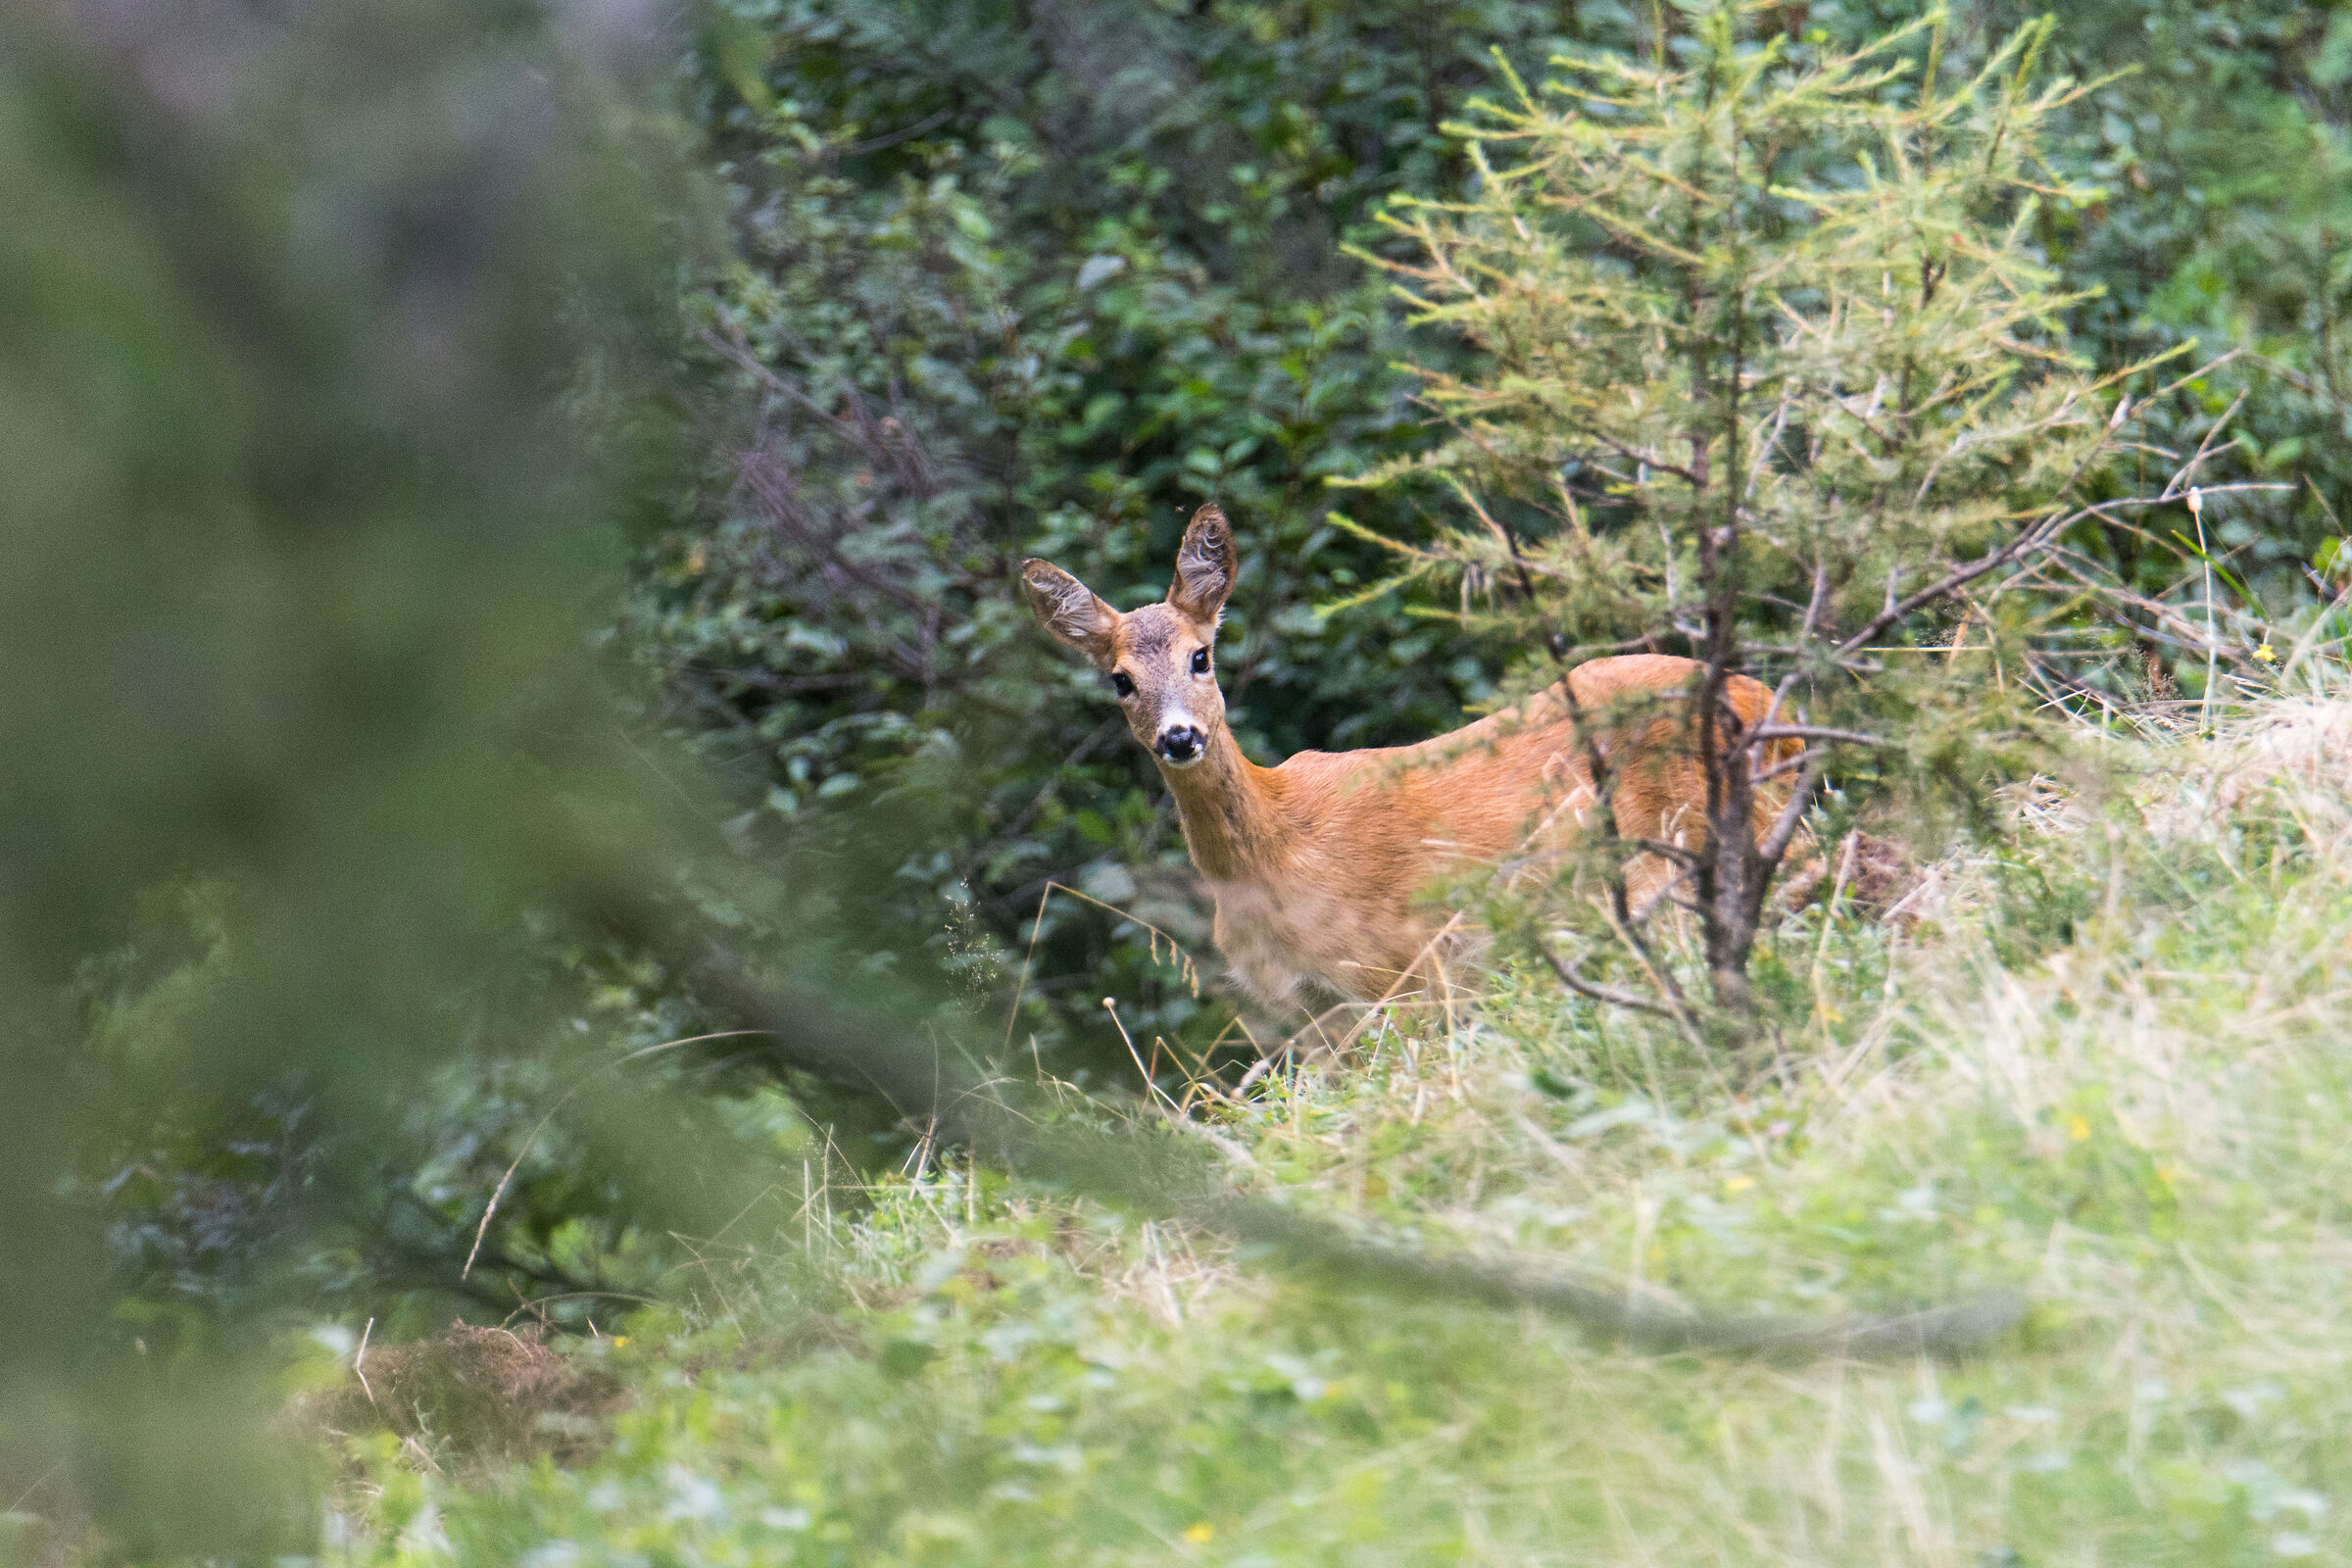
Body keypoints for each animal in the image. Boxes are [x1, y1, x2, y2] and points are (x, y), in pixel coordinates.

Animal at [1021, 504, 1804, 1021]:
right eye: (1121, 681)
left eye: (1200, 656)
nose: (1180, 738)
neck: (1275, 851)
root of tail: (1770, 701)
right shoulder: (1308, 1013)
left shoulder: (1400, 970)